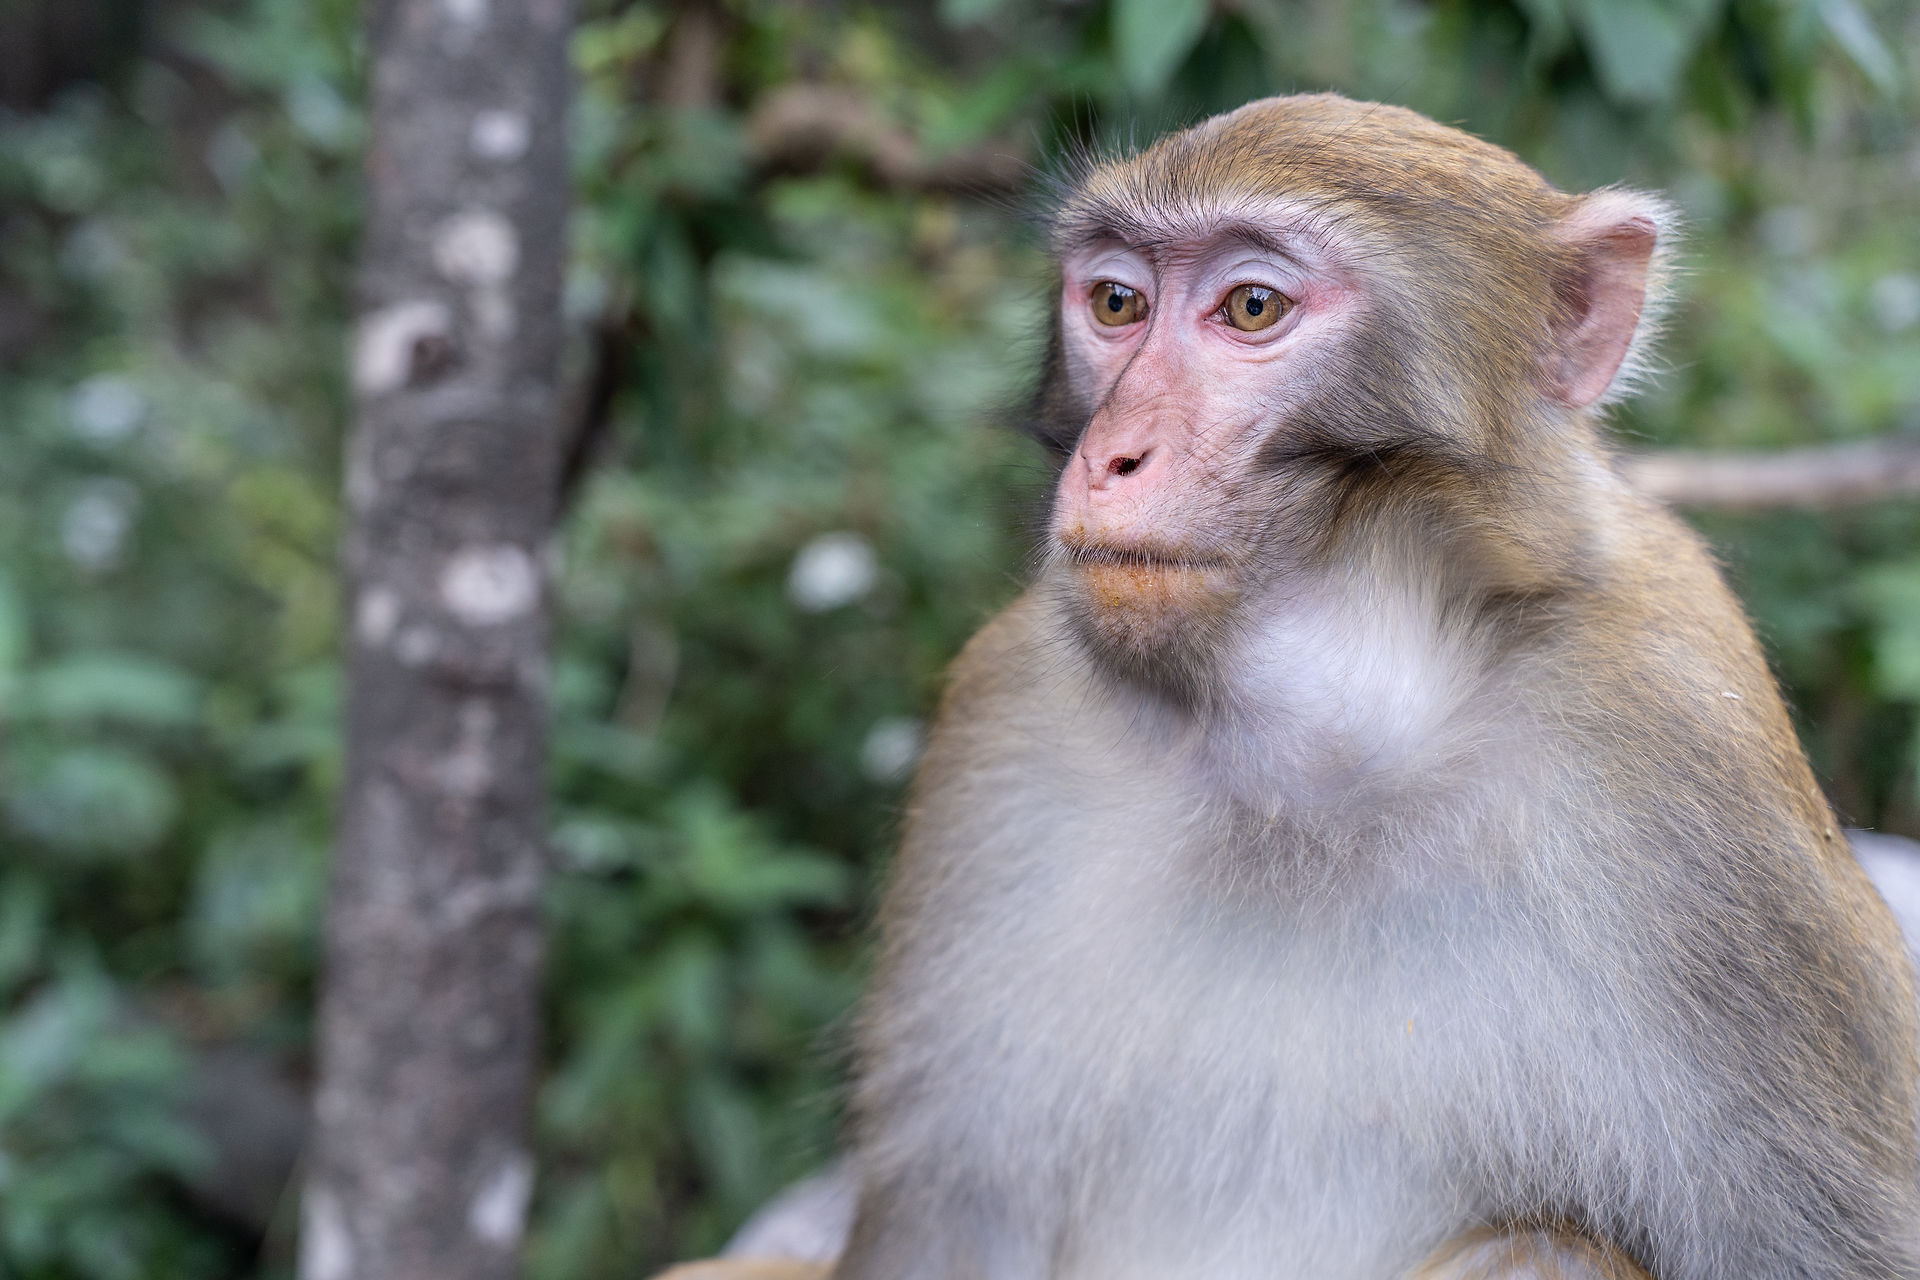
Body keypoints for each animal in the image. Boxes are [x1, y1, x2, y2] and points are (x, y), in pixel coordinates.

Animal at [650, 94, 1920, 1280]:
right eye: (1117, 304)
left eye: (1252, 308)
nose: (1111, 457)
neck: (1312, 756)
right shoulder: (1006, 719)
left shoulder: (1683, 749)